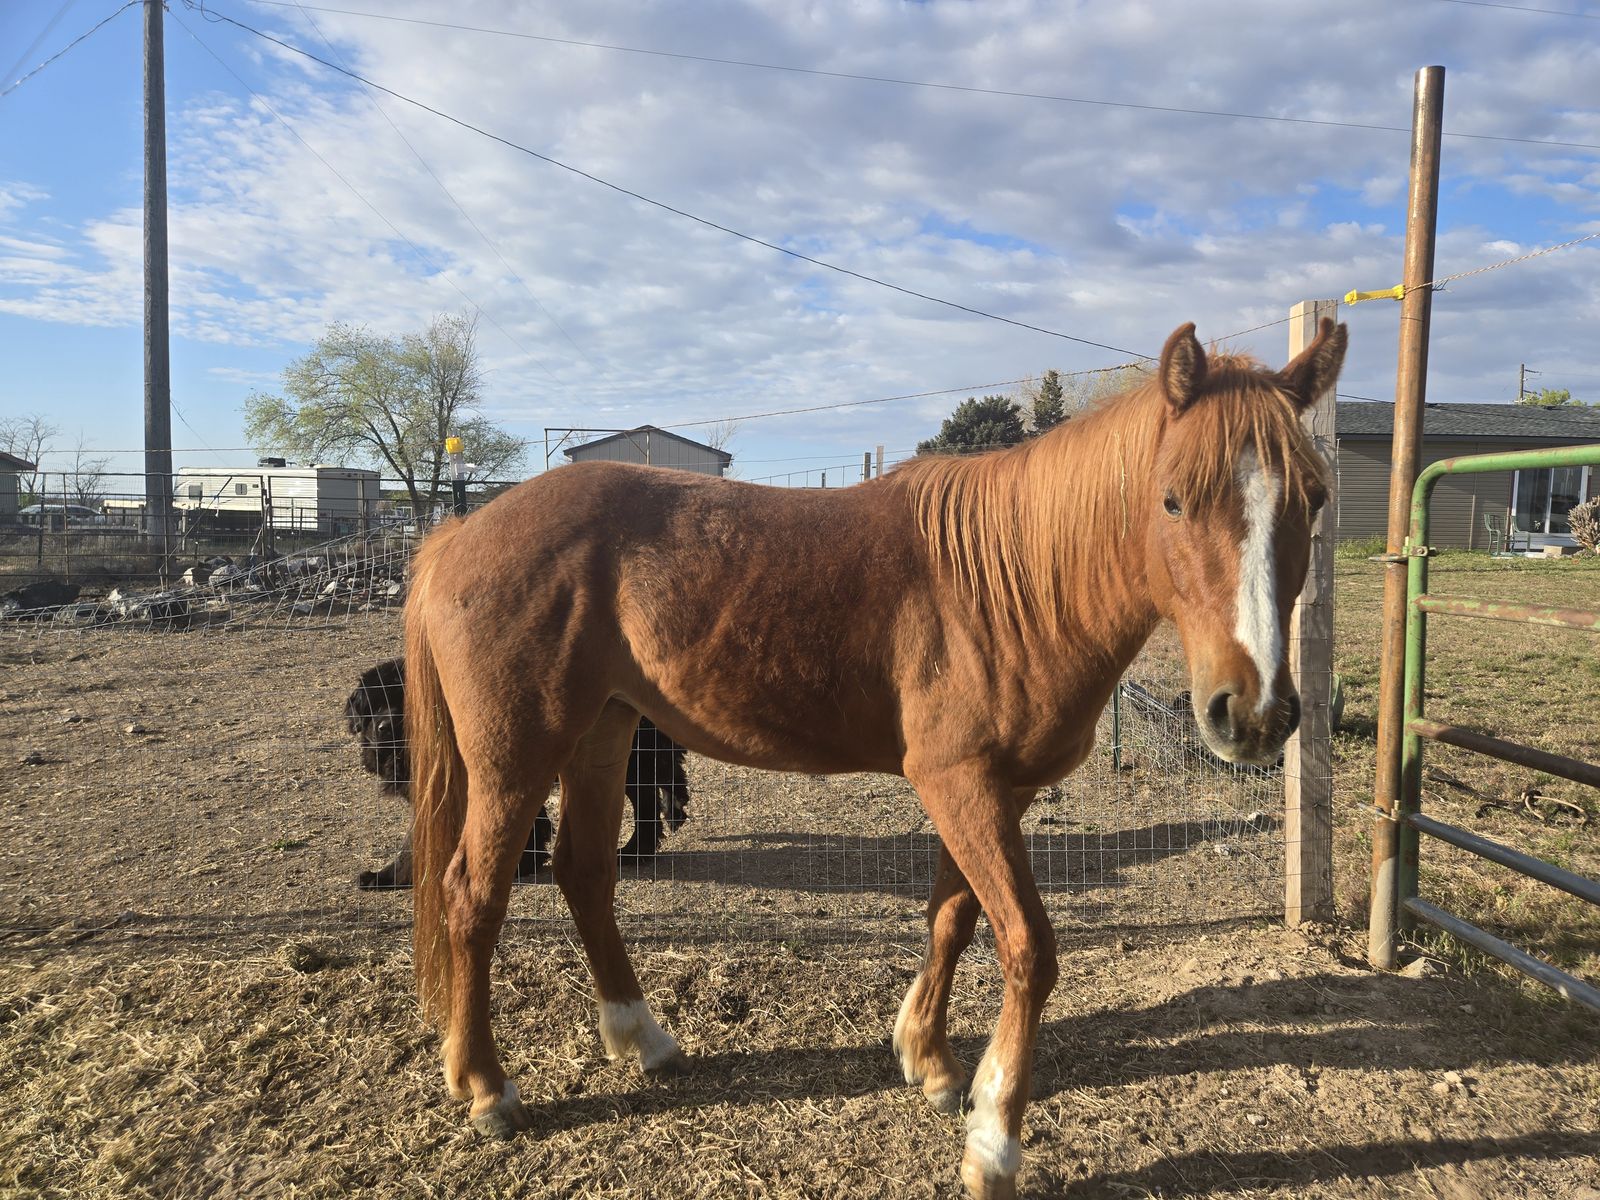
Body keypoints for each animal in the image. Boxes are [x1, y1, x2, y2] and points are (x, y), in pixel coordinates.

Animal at [343, 658, 689, 889]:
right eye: (372, 705)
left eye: (401, 701)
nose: (385, 727)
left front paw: (385, 877)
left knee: (650, 793)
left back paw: (635, 848)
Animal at [402, 319, 1345, 1199]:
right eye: (1174, 501)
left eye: (1315, 498)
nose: (1254, 712)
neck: (1010, 584)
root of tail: (457, 535)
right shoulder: (959, 783)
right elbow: (1029, 949)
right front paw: (993, 1142)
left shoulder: (995, 789)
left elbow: (953, 918)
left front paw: (930, 1062)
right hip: (517, 757)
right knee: (473, 895)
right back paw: (486, 1089)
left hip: (604, 732)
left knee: (584, 873)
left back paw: (644, 1038)